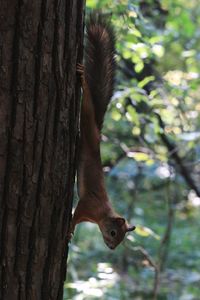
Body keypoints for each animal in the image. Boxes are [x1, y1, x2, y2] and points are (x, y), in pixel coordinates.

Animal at [69, 12, 136, 250]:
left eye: (122, 237)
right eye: (114, 232)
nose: (112, 248)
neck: (101, 215)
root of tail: (97, 132)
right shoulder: (87, 204)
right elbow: (75, 215)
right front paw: (69, 230)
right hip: (87, 117)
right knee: (87, 101)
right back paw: (82, 79)